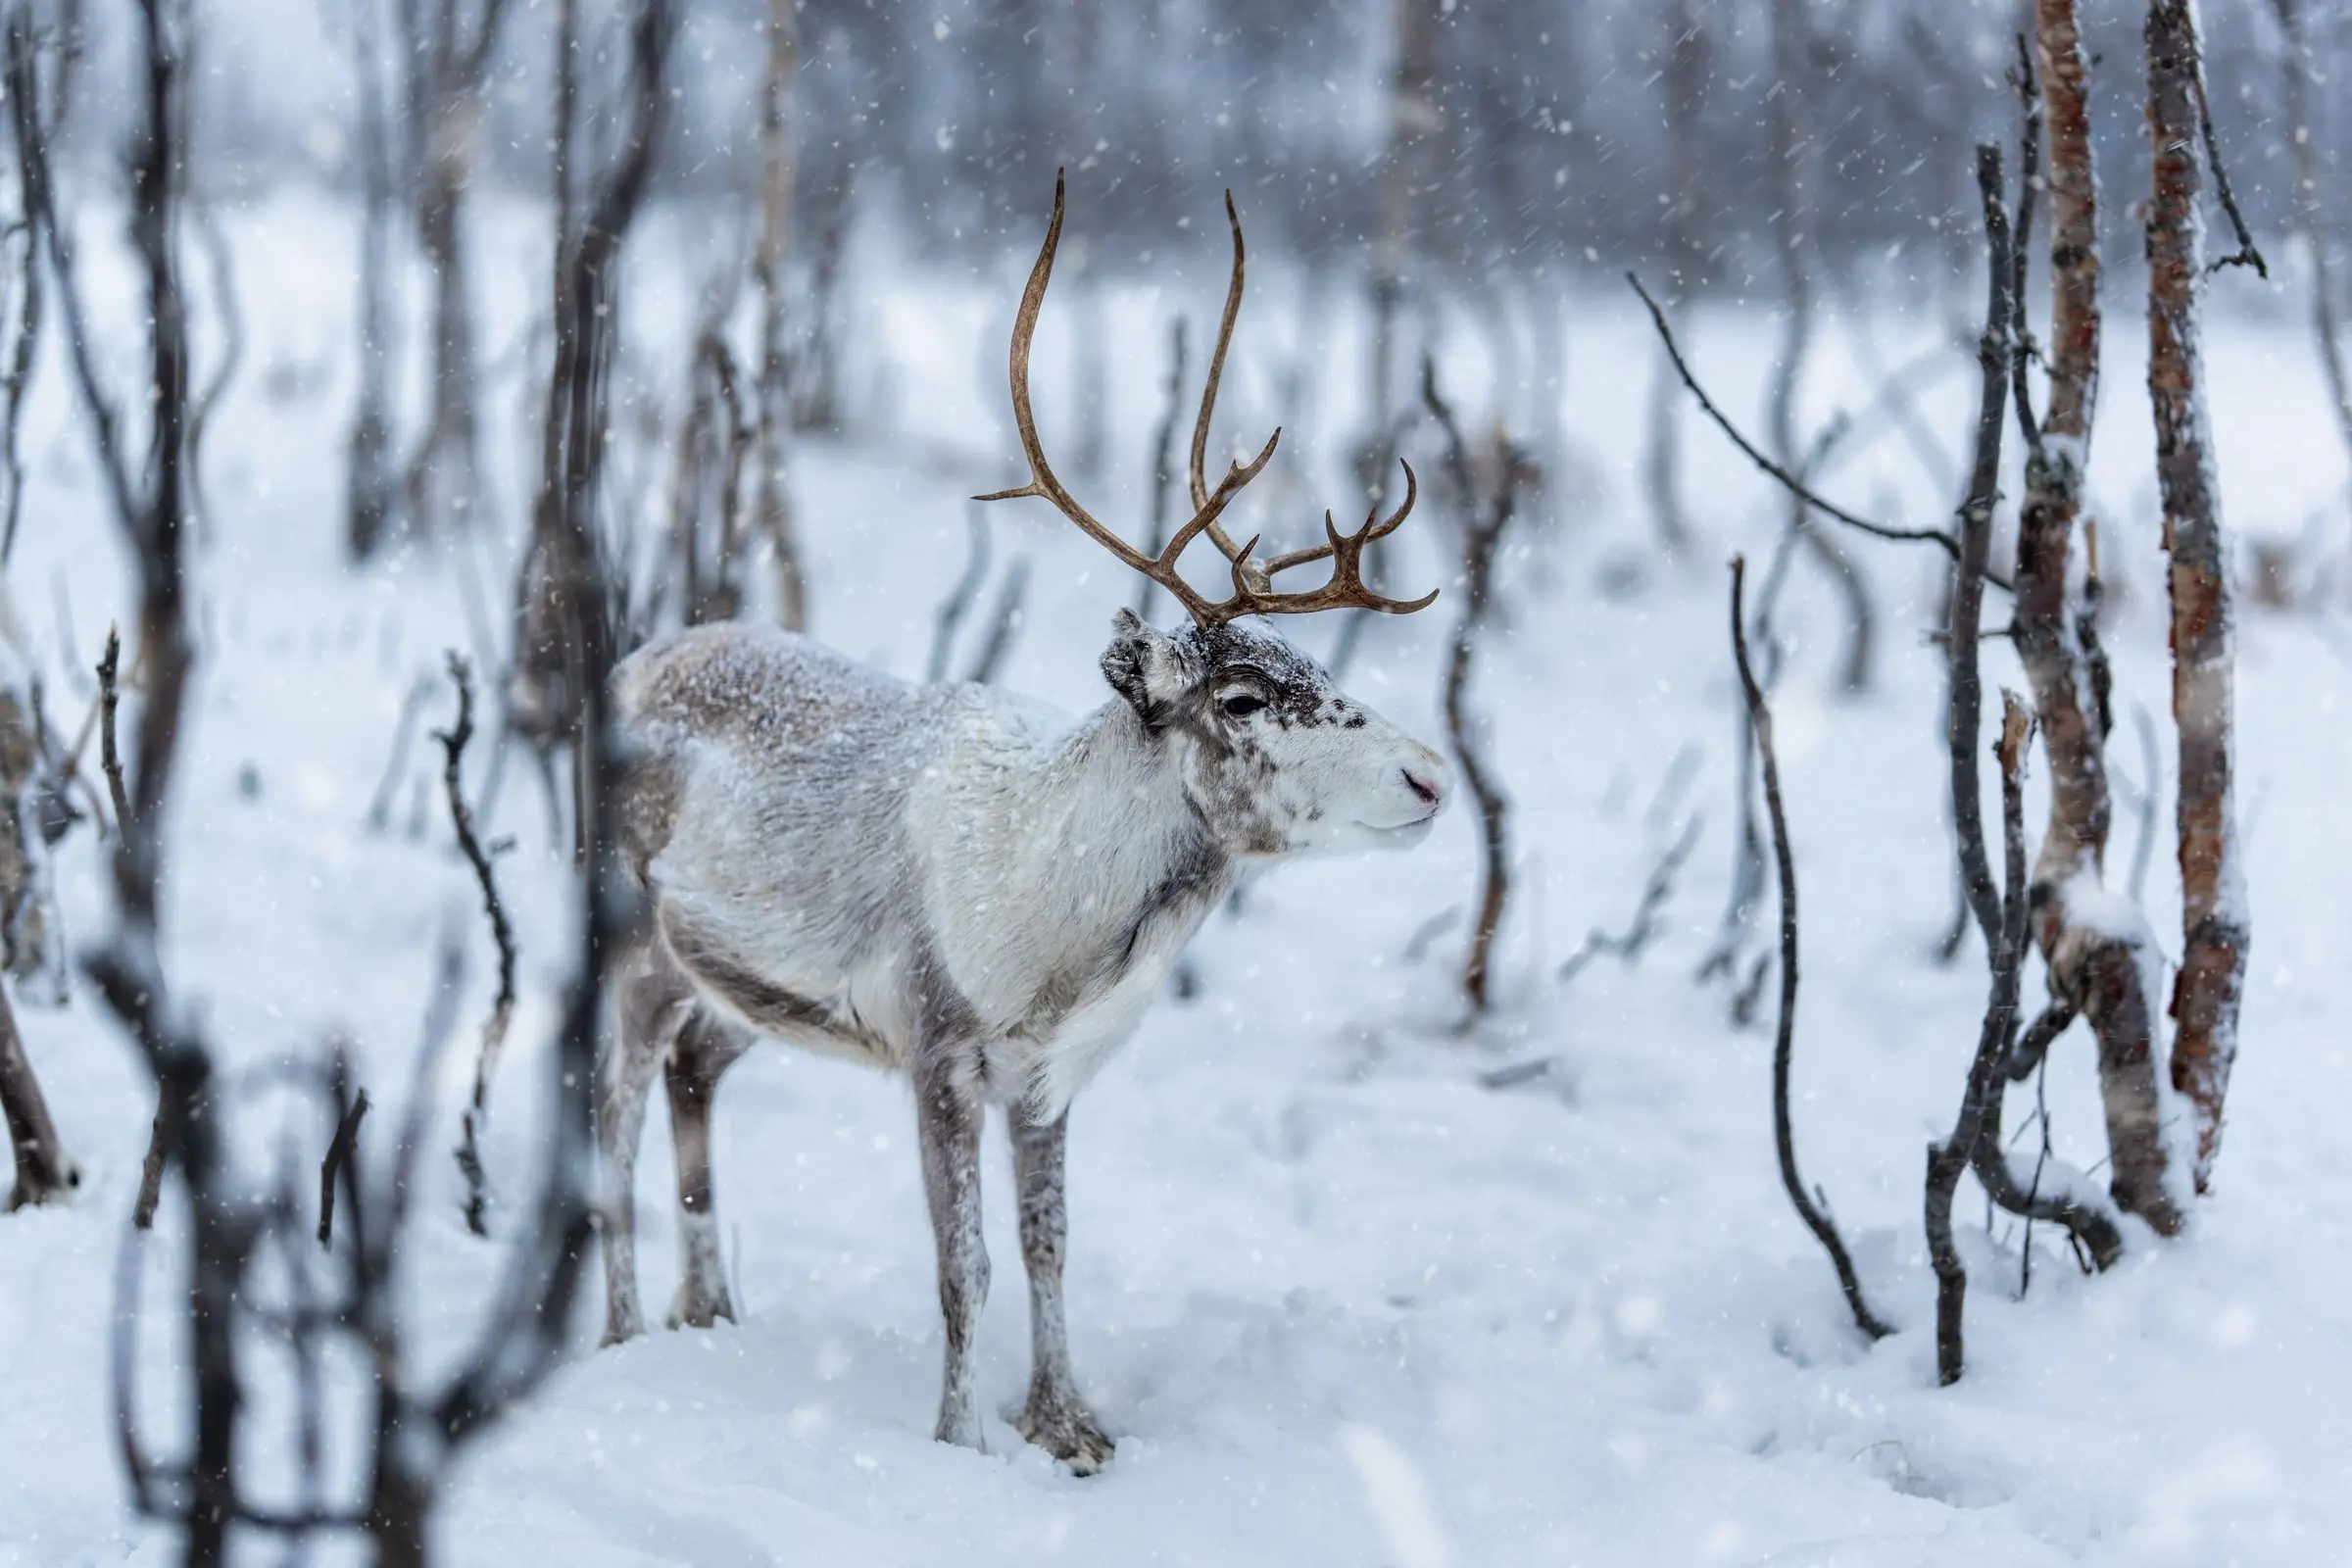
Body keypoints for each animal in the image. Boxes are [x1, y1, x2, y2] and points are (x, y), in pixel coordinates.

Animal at [598, 175, 1452, 1473]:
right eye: (1243, 697)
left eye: (1314, 662)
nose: (1428, 775)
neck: (1065, 937)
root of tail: (631, 661)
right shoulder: (940, 1051)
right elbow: (966, 1267)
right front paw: (959, 1441)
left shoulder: (1045, 1080)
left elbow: (1051, 1246)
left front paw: (1071, 1426)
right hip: (632, 935)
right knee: (615, 1101)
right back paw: (621, 1328)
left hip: (743, 988)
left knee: (697, 1071)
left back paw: (711, 1309)